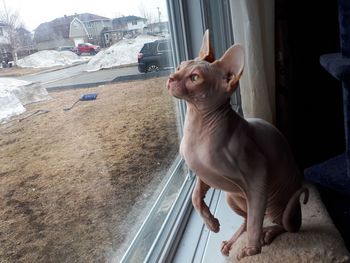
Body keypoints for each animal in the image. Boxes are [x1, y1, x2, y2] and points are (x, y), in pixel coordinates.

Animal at [167, 30, 308, 260]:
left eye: (194, 77)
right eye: (179, 66)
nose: (170, 78)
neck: (196, 129)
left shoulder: (258, 173)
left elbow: (255, 222)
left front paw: (251, 250)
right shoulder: (202, 173)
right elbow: (195, 198)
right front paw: (212, 224)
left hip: (272, 197)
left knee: (278, 223)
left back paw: (267, 234)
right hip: (231, 197)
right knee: (248, 217)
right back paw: (232, 241)